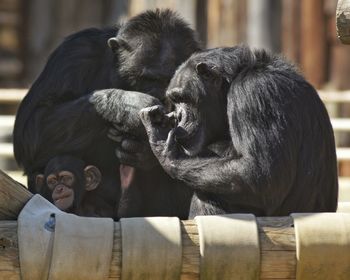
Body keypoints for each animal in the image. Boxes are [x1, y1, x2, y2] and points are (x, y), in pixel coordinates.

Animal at [13, 9, 198, 219]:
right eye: (147, 78)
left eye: (169, 79)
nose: (160, 93)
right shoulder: (74, 54)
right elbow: (33, 124)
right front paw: (129, 106)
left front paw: (145, 153)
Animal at [140, 46, 340, 218]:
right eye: (175, 100)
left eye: (184, 98)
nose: (179, 116)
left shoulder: (252, 93)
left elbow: (260, 175)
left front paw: (165, 149)